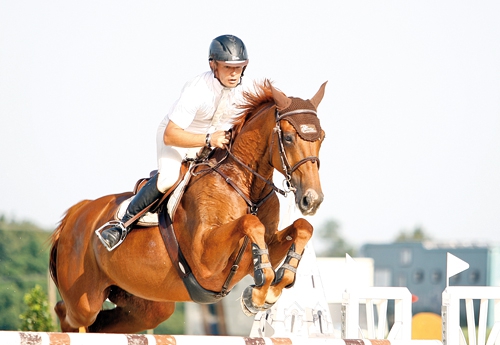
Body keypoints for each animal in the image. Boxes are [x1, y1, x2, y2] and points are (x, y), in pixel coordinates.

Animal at [48, 79, 326, 332]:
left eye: (321, 138)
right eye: (288, 138)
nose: (312, 199)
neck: (245, 188)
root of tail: (75, 214)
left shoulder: (264, 247)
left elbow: (302, 227)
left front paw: (268, 291)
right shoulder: (205, 261)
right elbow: (250, 223)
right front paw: (257, 295)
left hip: (147, 306)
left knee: (106, 323)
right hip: (84, 301)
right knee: (67, 313)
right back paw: (112, 234)